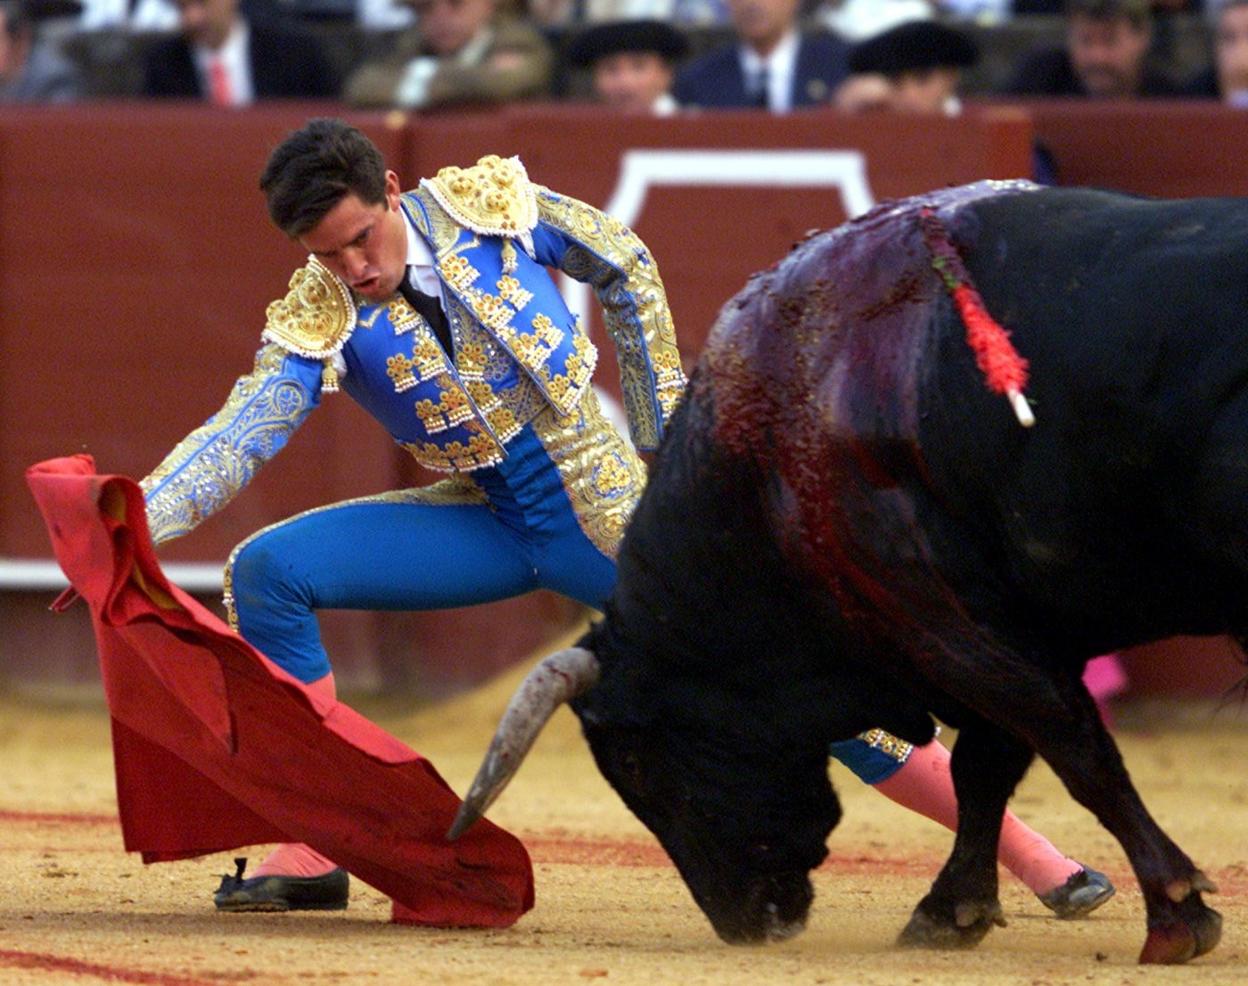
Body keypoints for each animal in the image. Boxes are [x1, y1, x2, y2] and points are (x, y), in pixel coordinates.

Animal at [454, 183, 1243, 963]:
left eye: (635, 760)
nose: (740, 922)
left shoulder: (943, 621)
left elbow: (1067, 744)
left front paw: (1176, 912)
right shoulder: (1000, 628)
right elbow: (990, 765)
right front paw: (948, 912)